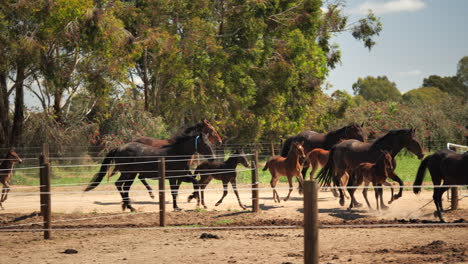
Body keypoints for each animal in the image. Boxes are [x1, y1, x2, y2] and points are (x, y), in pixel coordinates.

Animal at [84, 132, 214, 212]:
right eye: (205, 144)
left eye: (210, 143)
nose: (213, 158)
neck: (177, 154)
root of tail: (119, 148)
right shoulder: (173, 177)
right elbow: (174, 192)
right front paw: (177, 207)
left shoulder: (183, 176)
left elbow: (195, 182)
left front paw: (194, 199)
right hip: (127, 173)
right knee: (119, 184)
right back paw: (128, 206)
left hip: (131, 174)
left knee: (125, 187)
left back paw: (129, 207)